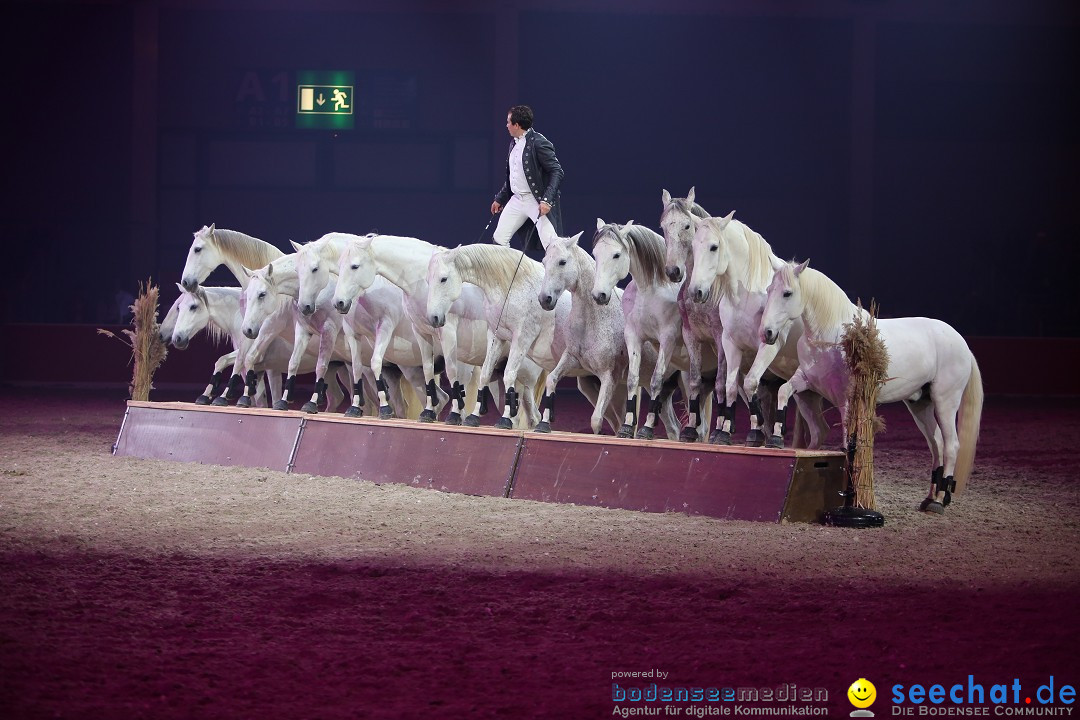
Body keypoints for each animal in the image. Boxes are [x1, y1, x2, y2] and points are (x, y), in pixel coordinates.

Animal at [425, 241, 622, 433]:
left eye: (443, 279)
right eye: (428, 279)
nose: (434, 318)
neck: (511, 285)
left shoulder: (522, 338)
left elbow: (509, 375)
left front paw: (505, 419)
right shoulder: (496, 336)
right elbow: (486, 374)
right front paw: (474, 417)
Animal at [760, 262, 980, 515]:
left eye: (787, 293)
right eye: (769, 290)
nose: (766, 333)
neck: (830, 334)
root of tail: (962, 343)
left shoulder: (846, 398)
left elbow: (848, 442)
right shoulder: (805, 382)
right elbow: (784, 392)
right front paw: (775, 438)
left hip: (946, 401)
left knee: (951, 445)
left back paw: (940, 500)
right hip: (920, 405)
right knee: (937, 445)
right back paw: (929, 497)